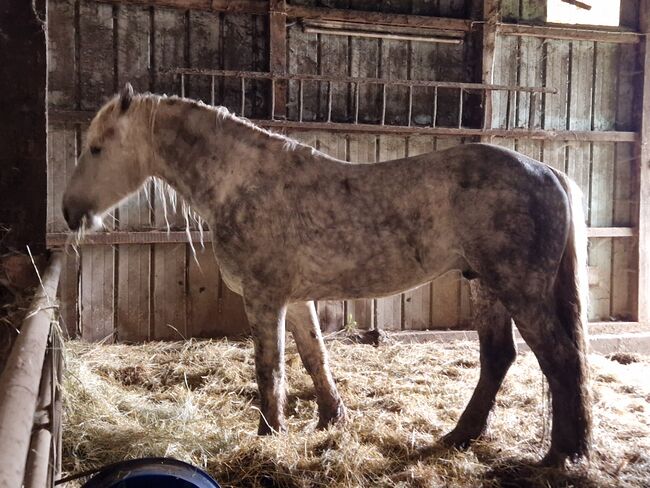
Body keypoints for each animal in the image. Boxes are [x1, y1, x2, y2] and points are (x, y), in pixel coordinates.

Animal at [62, 83, 591, 467]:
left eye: (97, 148)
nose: (69, 212)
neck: (242, 183)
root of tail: (547, 170)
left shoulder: (265, 299)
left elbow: (270, 369)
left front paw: (268, 436)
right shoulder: (294, 300)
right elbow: (315, 358)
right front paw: (331, 420)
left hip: (519, 290)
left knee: (561, 359)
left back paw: (562, 454)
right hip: (487, 286)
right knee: (499, 358)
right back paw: (461, 436)